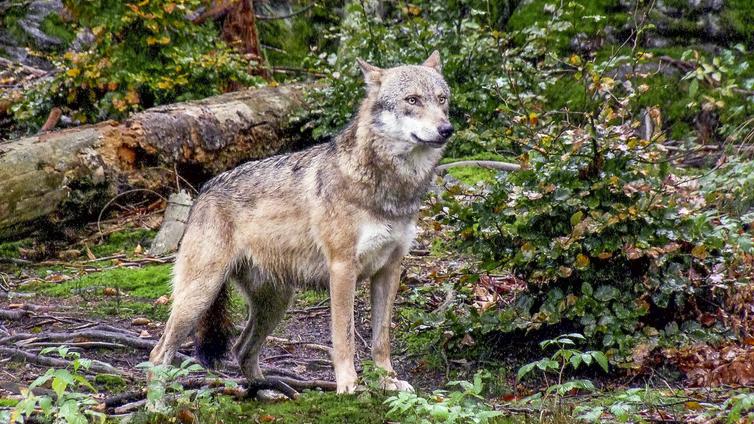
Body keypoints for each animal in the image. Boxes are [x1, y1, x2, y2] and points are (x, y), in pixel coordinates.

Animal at [150, 50, 450, 394]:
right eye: (412, 100)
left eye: (442, 99)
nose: (446, 129)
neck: (389, 189)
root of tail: (203, 190)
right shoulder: (342, 269)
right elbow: (344, 338)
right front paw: (349, 386)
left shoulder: (389, 270)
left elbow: (381, 340)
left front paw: (388, 382)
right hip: (201, 294)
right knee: (159, 353)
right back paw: (159, 403)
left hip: (276, 302)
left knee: (242, 349)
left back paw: (268, 393)